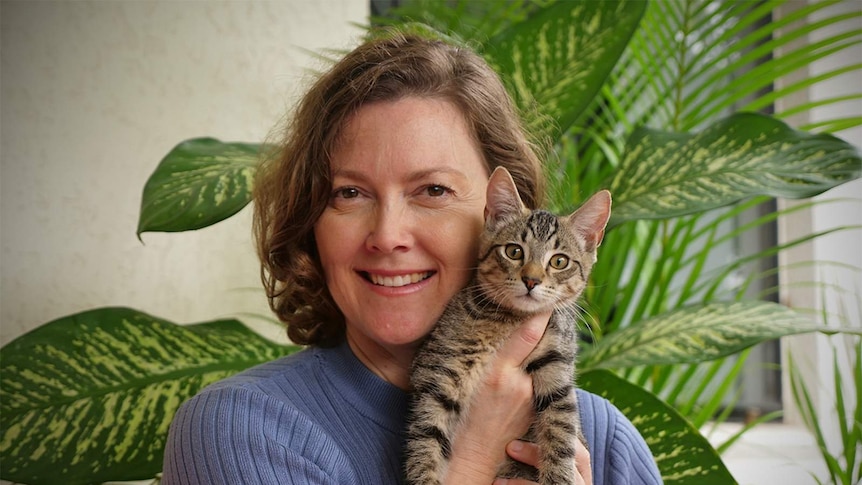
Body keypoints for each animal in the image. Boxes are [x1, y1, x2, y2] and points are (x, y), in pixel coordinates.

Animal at [406, 166, 616, 484]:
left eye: (559, 261)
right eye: (514, 252)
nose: (531, 280)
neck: (510, 321)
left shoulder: (557, 366)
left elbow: (561, 431)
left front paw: (558, 475)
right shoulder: (438, 373)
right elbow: (425, 441)